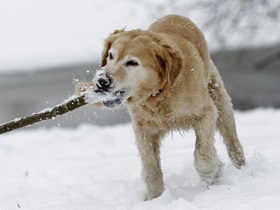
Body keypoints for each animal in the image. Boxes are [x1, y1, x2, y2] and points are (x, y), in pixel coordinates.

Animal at [76, 14, 245, 200]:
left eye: (132, 62)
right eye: (111, 56)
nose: (102, 81)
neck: (159, 94)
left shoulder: (207, 113)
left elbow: (203, 154)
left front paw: (212, 173)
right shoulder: (142, 129)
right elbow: (151, 167)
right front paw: (154, 198)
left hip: (220, 100)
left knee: (232, 140)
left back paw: (242, 166)